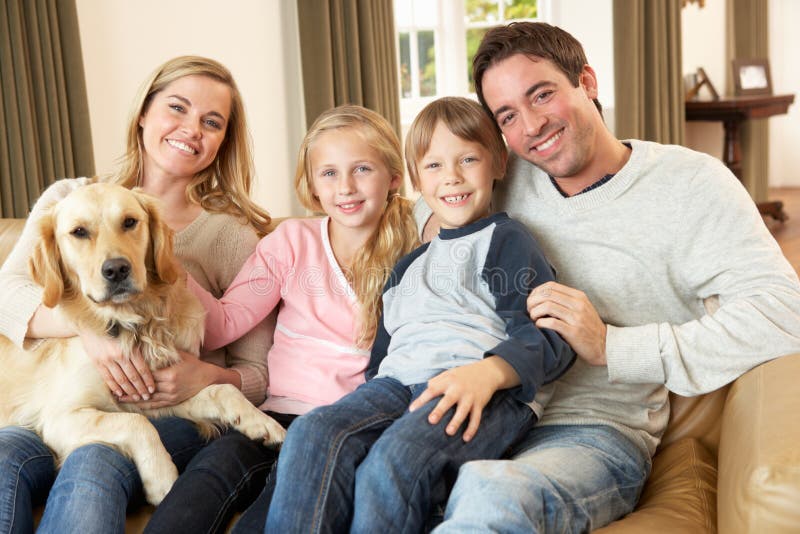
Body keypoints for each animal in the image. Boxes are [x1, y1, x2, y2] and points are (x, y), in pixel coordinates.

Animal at [0, 183, 286, 506]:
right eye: (79, 232)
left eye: (129, 222)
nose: (116, 270)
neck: (136, 323)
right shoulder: (60, 417)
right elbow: (136, 424)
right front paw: (162, 478)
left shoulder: (159, 394)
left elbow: (222, 390)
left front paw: (261, 422)